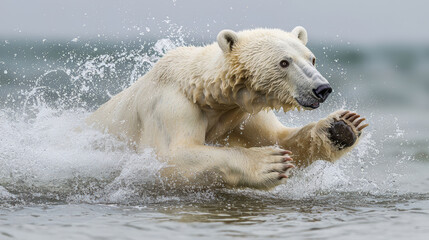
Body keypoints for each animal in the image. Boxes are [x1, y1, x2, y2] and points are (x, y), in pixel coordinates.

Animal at [87, 26, 368, 189]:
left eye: (312, 58)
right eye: (284, 62)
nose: (322, 89)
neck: (204, 91)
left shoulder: (241, 114)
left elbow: (281, 139)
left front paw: (343, 126)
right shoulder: (171, 105)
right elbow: (168, 156)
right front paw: (268, 163)